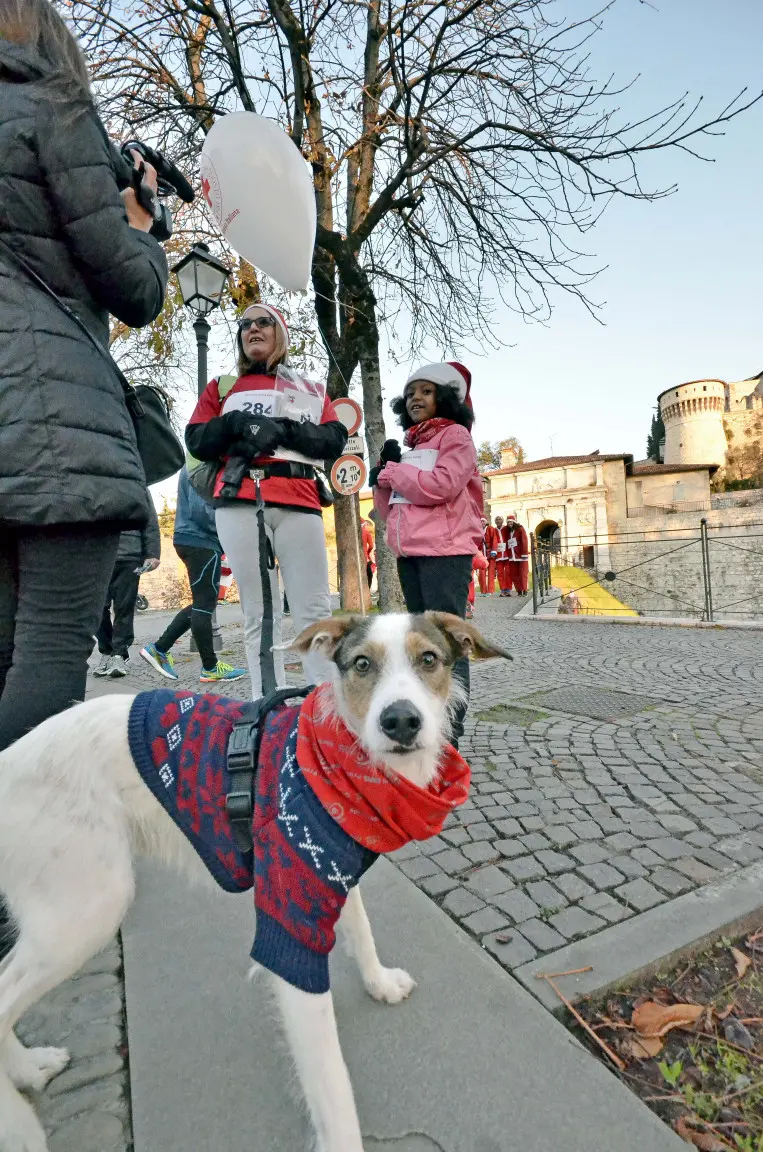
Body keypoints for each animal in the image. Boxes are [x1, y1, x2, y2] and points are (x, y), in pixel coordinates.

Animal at [1, 608, 514, 1147]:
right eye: (361, 664)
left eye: (429, 659)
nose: (400, 721)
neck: (337, 765)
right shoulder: (289, 933)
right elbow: (333, 1090)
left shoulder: (332, 870)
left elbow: (361, 930)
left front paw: (378, 982)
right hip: (88, 905)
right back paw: (18, 1122)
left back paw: (28, 1069)